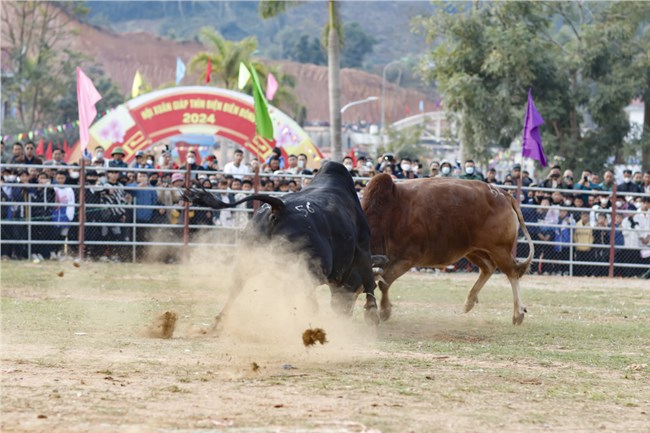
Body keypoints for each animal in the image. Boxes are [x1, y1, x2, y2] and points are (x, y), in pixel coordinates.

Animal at [182, 161, 384, 324]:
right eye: (356, 288)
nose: (343, 312)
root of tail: (279, 207)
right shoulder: (363, 247)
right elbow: (369, 280)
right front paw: (372, 315)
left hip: (250, 259)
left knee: (236, 287)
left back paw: (219, 322)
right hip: (305, 269)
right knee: (304, 300)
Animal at [360, 172, 532, 324]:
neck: (388, 215)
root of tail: (503, 194)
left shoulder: (407, 259)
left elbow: (384, 283)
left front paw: (384, 311)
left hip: (499, 249)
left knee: (512, 272)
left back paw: (518, 313)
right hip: (474, 250)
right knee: (488, 268)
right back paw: (469, 302)